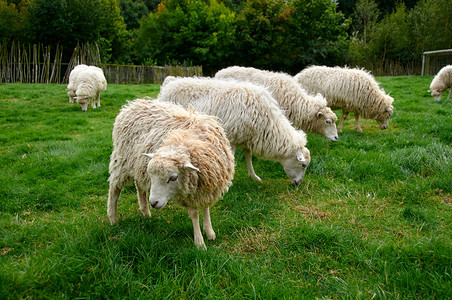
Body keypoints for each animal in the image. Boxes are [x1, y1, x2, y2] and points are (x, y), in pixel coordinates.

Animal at [107, 98, 235, 248]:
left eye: (173, 178)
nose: (154, 202)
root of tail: (131, 105)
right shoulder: (189, 192)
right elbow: (194, 214)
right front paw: (199, 242)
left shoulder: (206, 186)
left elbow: (206, 208)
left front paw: (209, 232)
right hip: (121, 161)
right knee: (114, 189)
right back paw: (113, 219)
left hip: (138, 165)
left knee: (139, 186)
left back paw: (146, 212)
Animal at [159, 77, 310, 185]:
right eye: (303, 165)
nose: (298, 184)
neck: (268, 124)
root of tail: (170, 84)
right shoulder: (231, 138)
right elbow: (230, 158)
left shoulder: (247, 138)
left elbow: (248, 156)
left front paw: (253, 176)